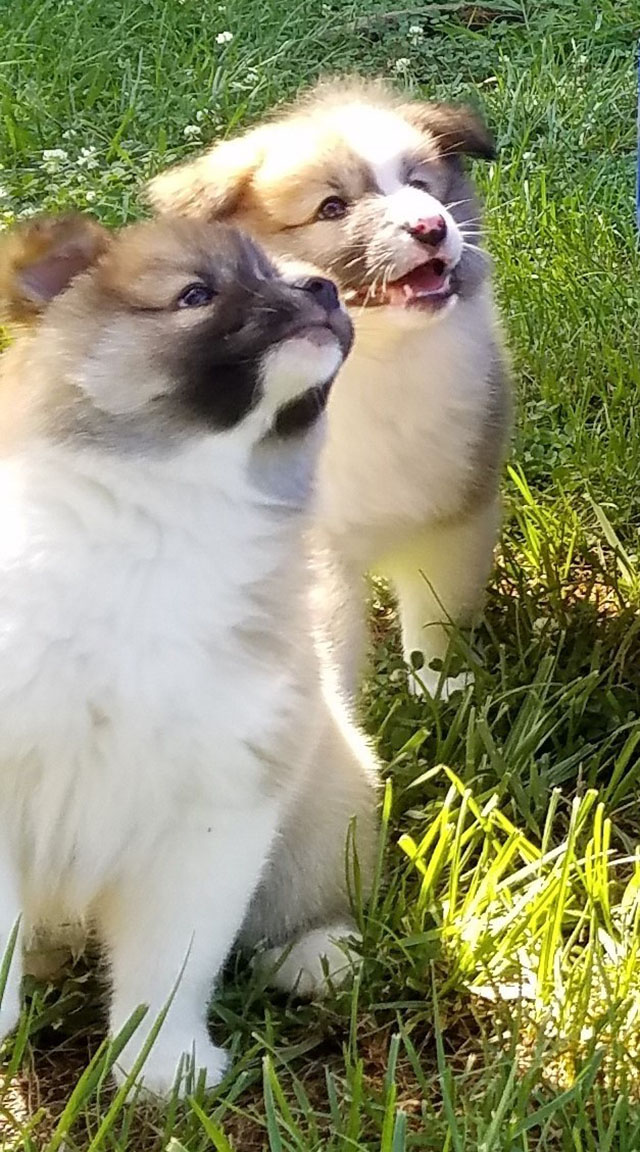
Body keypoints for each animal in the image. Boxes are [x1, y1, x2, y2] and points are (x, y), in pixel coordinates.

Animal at [0, 211, 379, 1092]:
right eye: (196, 295)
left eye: (285, 271)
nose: (322, 287)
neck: (159, 528)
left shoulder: (217, 809)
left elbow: (174, 961)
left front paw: (162, 1071)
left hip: (331, 796)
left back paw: (320, 954)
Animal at [147, 78, 513, 700]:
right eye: (332, 208)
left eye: (421, 185)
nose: (432, 226)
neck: (375, 360)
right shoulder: (313, 552)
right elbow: (326, 646)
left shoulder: (453, 515)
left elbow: (433, 615)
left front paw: (439, 691)